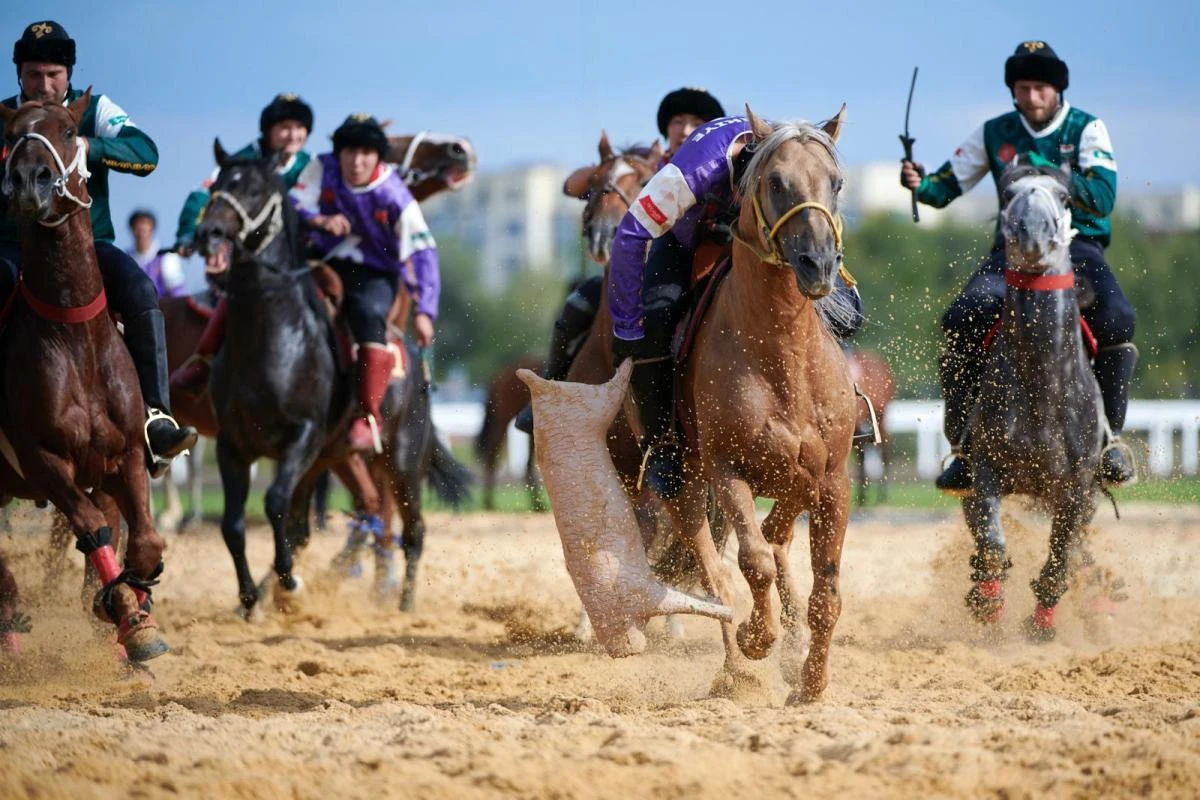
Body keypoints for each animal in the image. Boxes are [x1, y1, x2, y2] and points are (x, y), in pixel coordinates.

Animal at [0, 90, 170, 662]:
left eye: (72, 130)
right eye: (10, 134)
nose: (29, 179)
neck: (73, 339)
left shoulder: (126, 456)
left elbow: (143, 542)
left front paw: (133, 610)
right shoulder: (44, 460)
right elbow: (93, 529)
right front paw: (124, 611)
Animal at [964, 165, 1104, 642]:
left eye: (1064, 196)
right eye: (1008, 193)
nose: (1033, 233)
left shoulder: (1076, 488)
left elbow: (1060, 558)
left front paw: (1040, 626)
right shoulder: (984, 466)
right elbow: (991, 543)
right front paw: (987, 605)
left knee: (1080, 551)